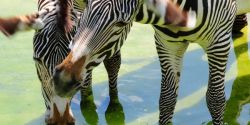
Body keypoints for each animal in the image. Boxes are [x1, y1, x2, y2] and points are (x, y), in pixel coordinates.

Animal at [52, 0, 250, 125]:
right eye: (85, 13)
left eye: (121, 23)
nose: (62, 79)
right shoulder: (167, 44)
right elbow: (167, 99)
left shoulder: (219, 42)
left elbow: (215, 99)